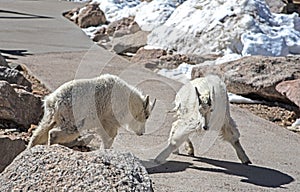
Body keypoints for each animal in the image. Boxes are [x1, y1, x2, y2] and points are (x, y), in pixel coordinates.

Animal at [27, 73, 156, 148]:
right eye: (146, 116)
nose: (141, 132)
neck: (129, 102)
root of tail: (53, 101)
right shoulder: (109, 118)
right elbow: (110, 136)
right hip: (72, 118)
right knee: (56, 132)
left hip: (51, 116)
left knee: (40, 132)